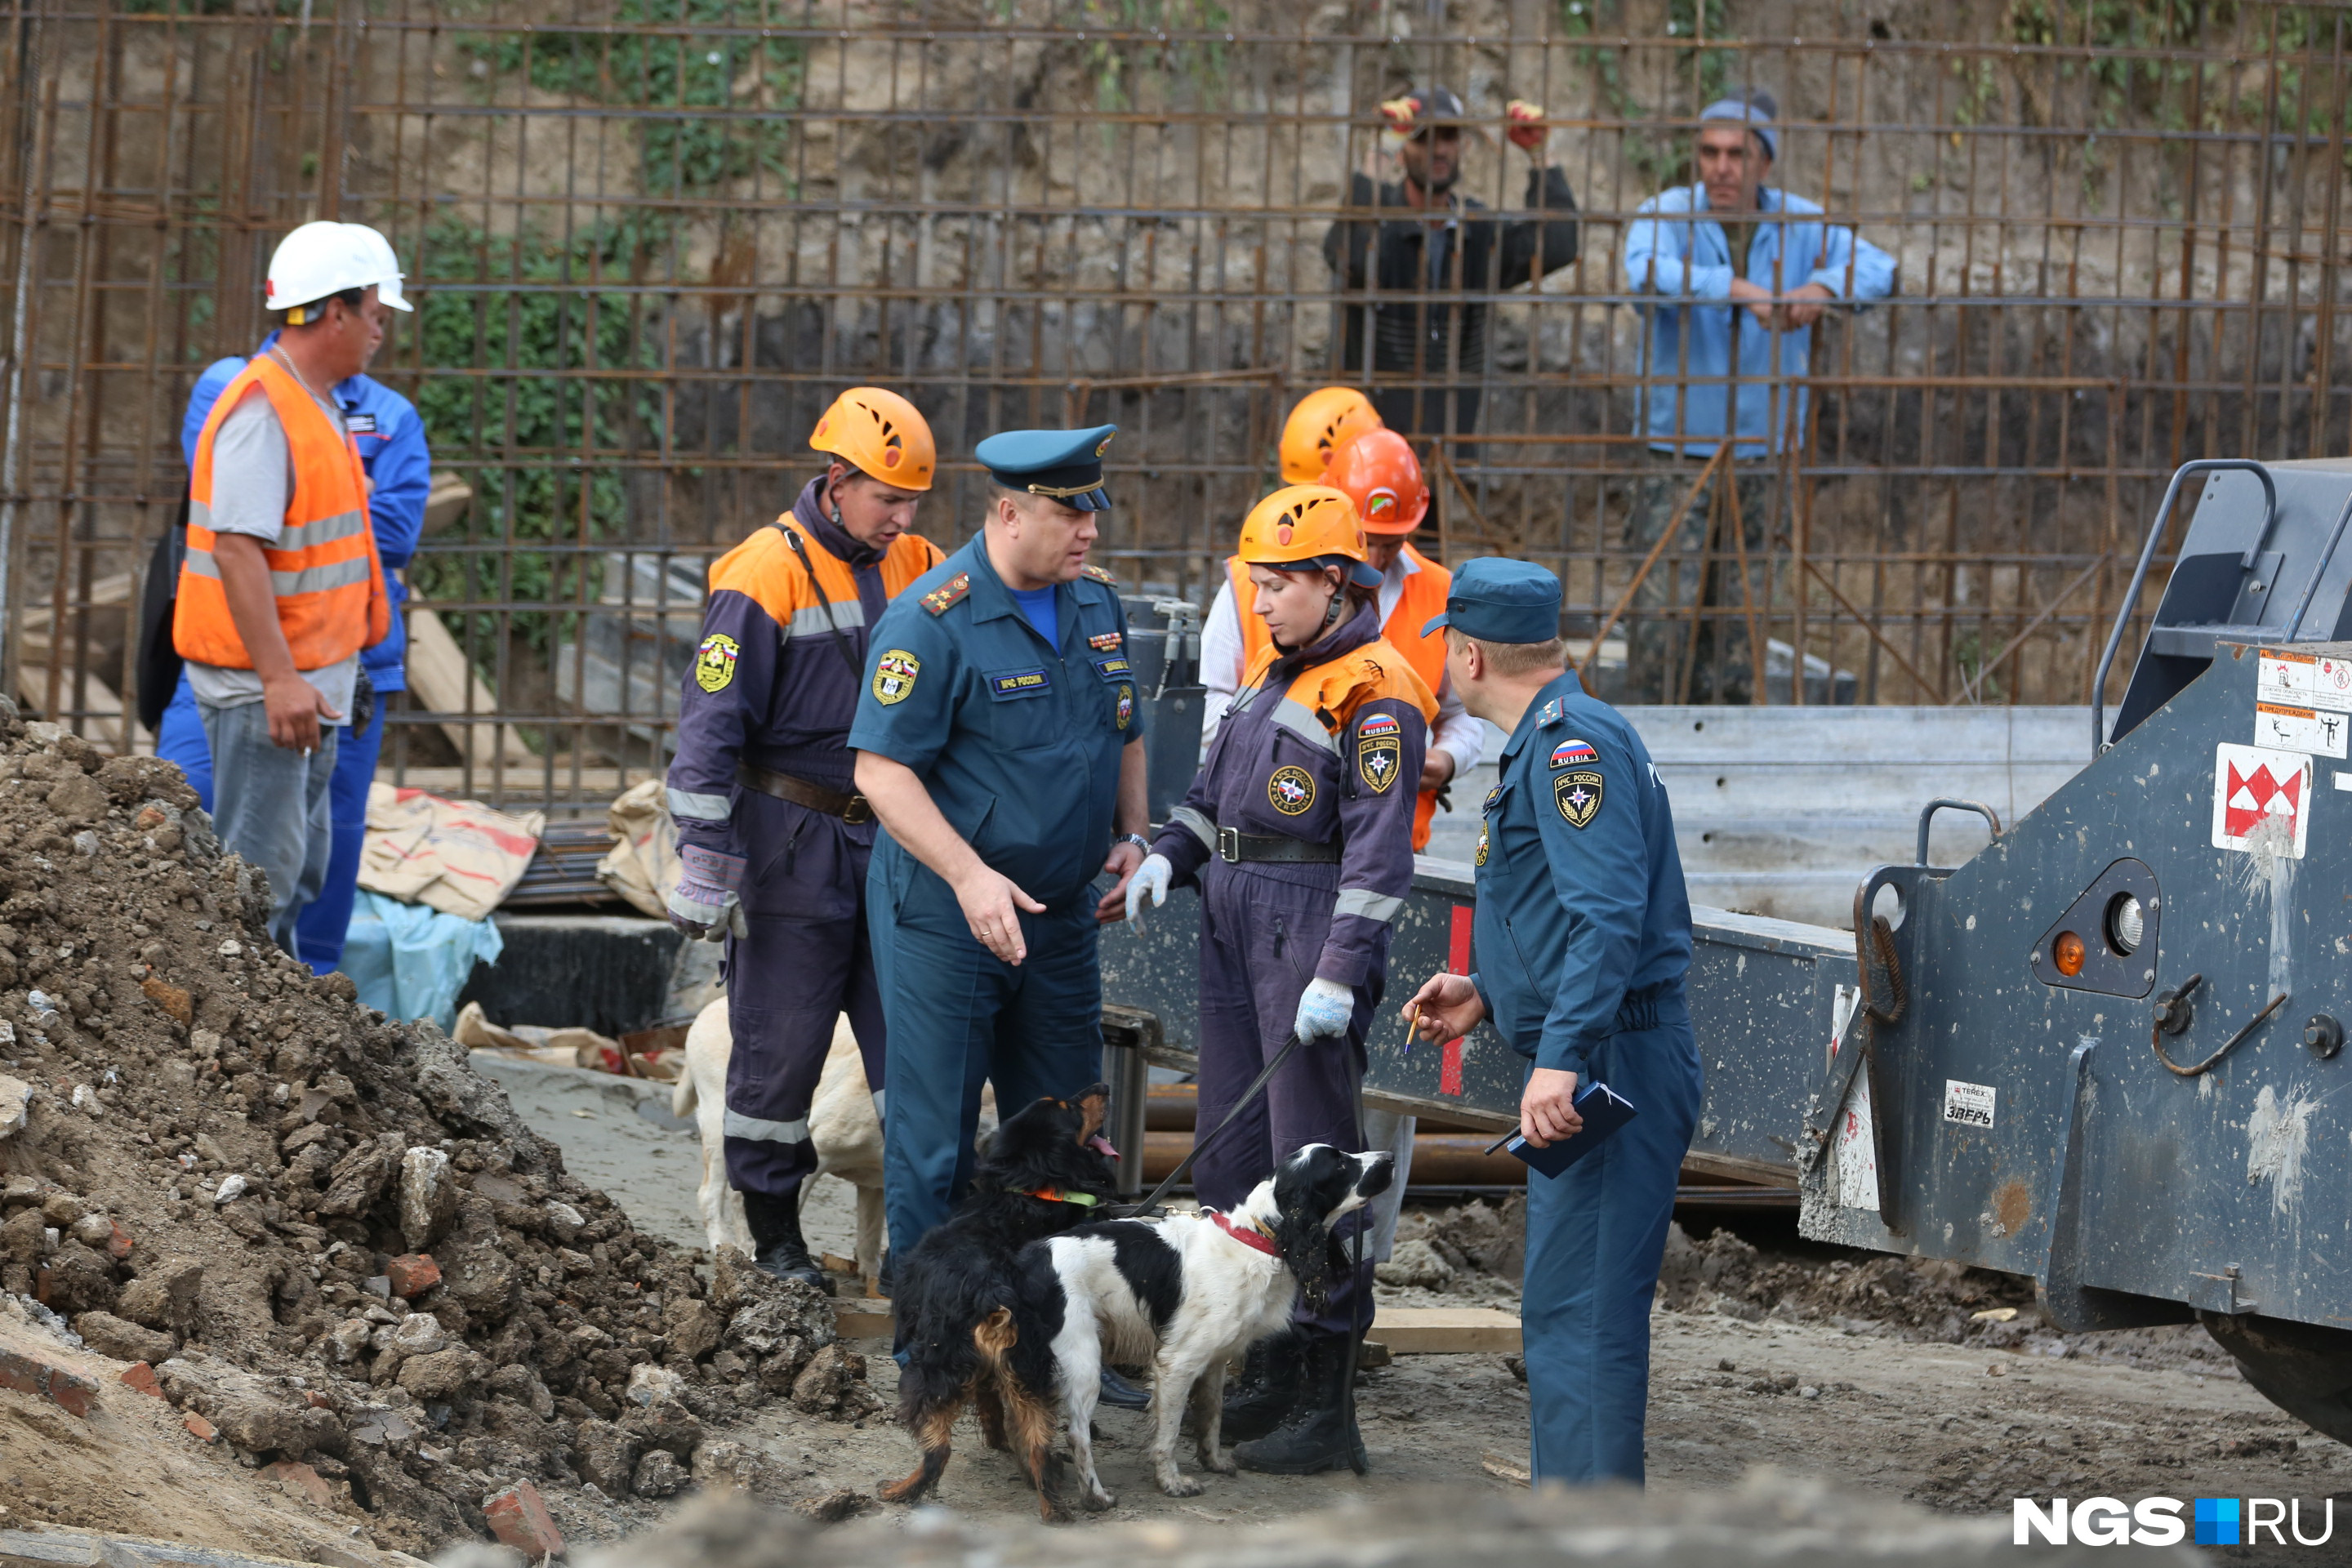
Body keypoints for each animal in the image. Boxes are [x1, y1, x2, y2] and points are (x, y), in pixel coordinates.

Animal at [997, 1147, 1383, 1513]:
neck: (1255, 1238)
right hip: (1082, 1358)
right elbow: (1168, 1432)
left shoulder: (1214, 1360)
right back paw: (1095, 1498)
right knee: (1076, 1435)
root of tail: (1025, 1261)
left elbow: (1212, 1415)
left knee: (1017, 1419)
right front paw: (1172, 1482)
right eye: (1340, 1165)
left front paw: (1213, 1462)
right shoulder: (1176, 1363)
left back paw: (1038, 1475)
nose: (1389, 1159)